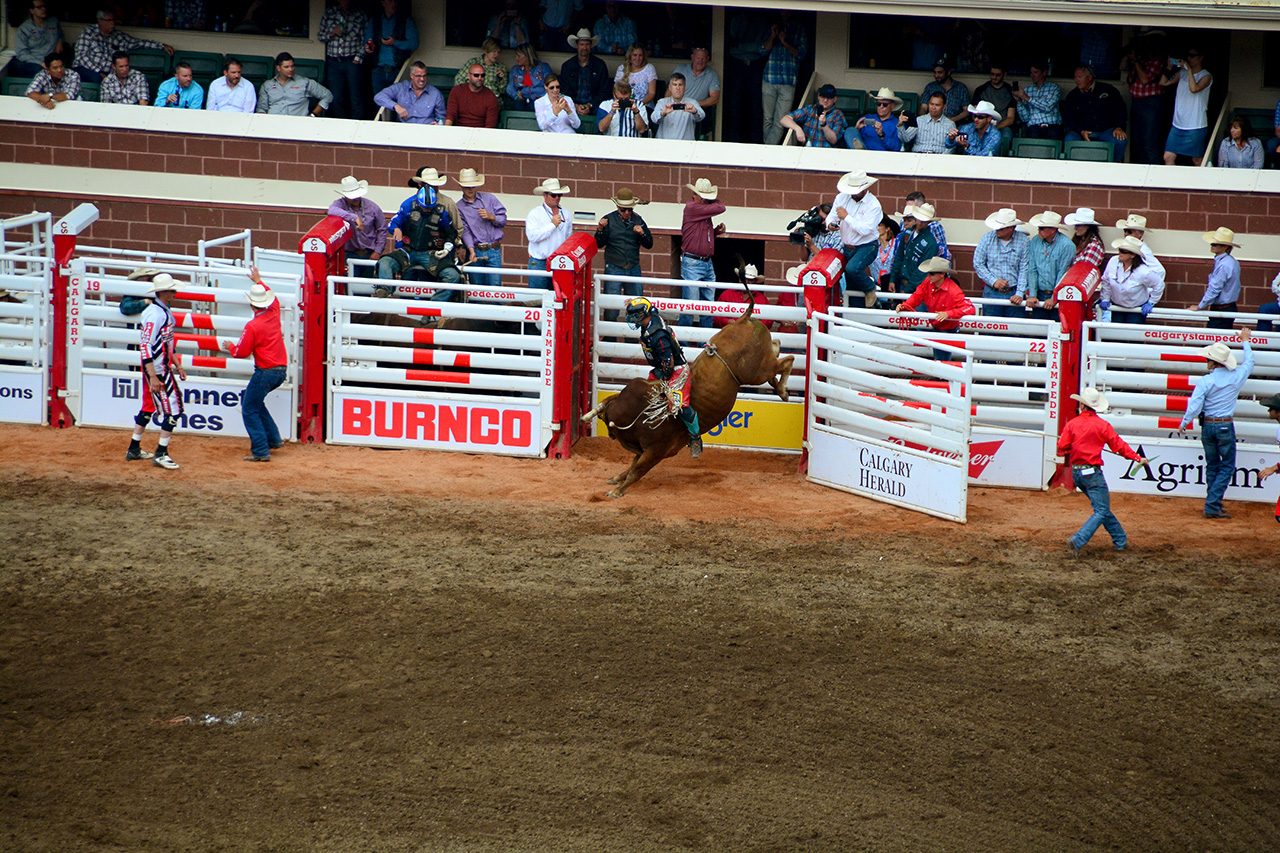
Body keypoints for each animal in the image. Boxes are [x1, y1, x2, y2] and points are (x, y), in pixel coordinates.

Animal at [586, 284, 793, 499]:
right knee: (777, 349)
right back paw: (779, 383)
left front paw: (617, 490)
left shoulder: (655, 451)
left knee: (787, 361)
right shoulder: (643, 450)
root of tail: (743, 319)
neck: (638, 412)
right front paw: (617, 478)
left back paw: (784, 391)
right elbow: (632, 466)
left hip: (756, 372)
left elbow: (636, 471)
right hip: (761, 366)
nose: (610, 435)